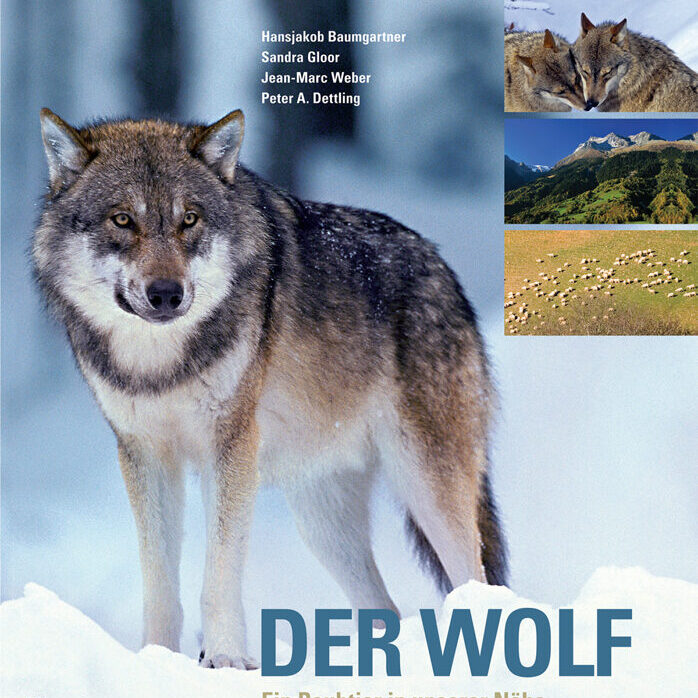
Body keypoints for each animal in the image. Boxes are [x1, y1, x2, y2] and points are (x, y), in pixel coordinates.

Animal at [33, 109, 507, 669]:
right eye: (122, 220)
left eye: (189, 219)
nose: (167, 294)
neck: (160, 363)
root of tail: (444, 271)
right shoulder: (145, 455)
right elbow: (160, 583)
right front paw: (155, 660)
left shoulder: (231, 447)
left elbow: (218, 572)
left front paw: (225, 660)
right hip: (324, 523)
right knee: (383, 608)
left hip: (428, 487)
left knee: (479, 582)